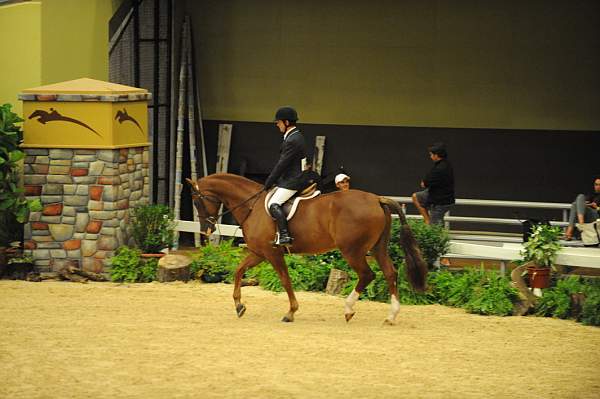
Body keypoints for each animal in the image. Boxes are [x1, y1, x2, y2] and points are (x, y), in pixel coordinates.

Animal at [188, 174, 426, 324]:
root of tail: (377, 198)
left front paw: (290, 312)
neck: (252, 206)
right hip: (377, 248)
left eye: (197, 202)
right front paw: (239, 306)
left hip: (352, 250)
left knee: (367, 275)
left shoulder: (272, 253)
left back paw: (349, 309)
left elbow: (285, 280)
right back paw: (391, 316)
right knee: (390, 273)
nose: (206, 230)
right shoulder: (259, 253)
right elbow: (238, 271)